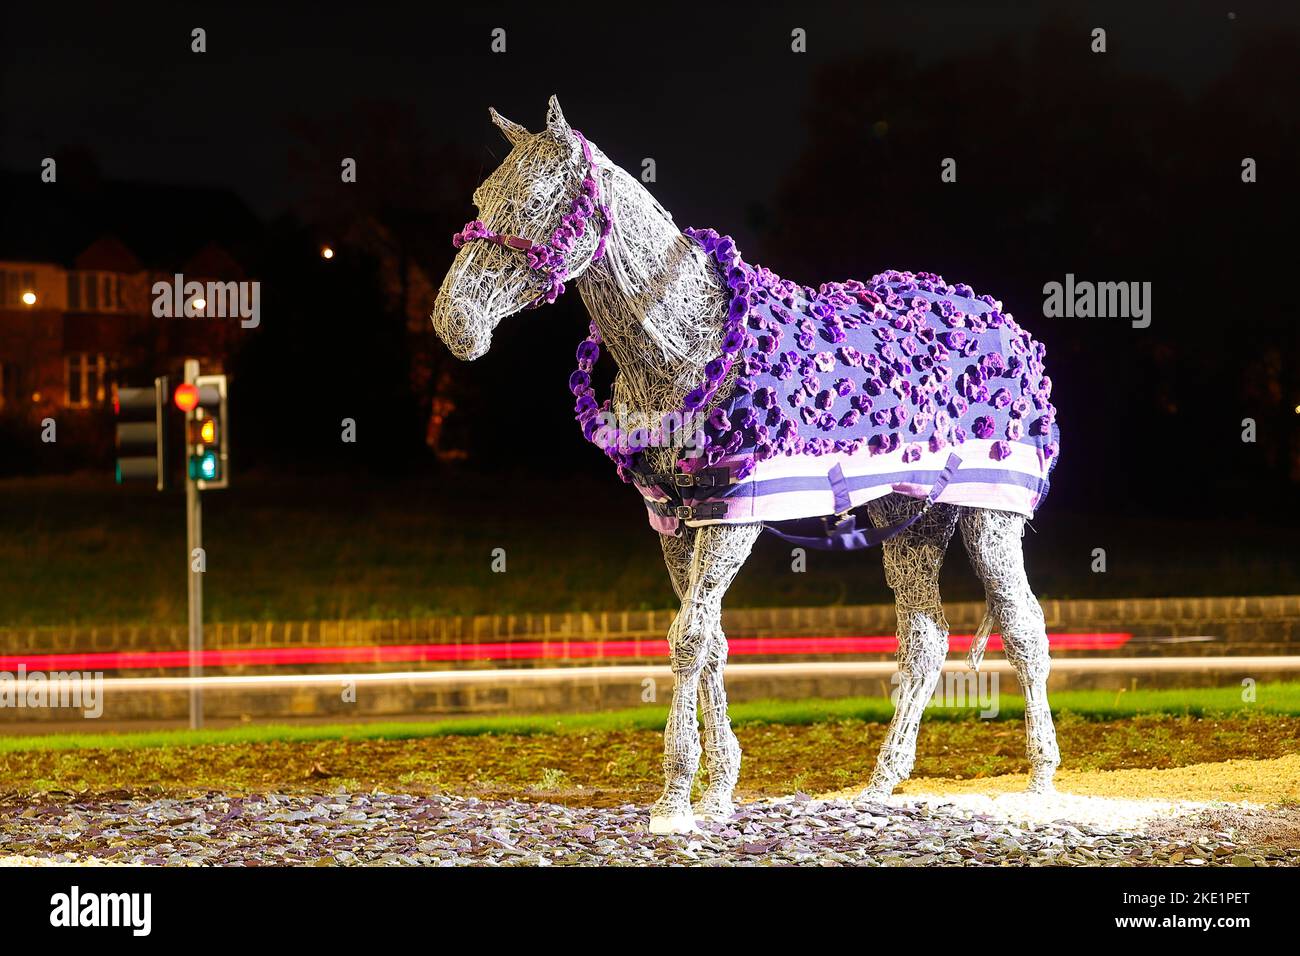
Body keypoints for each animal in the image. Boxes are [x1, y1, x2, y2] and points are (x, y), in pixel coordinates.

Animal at [431, 93, 1060, 832]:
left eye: (534, 199)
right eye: (480, 197)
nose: (455, 322)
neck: (692, 342)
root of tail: (1009, 328)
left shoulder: (732, 518)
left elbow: (689, 638)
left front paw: (675, 797)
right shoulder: (675, 522)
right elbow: (710, 640)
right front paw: (718, 787)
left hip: (991, 518)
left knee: (1023, 628)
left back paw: (1040, 784)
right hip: (910, 520)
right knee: (925, 636)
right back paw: (880, 783)